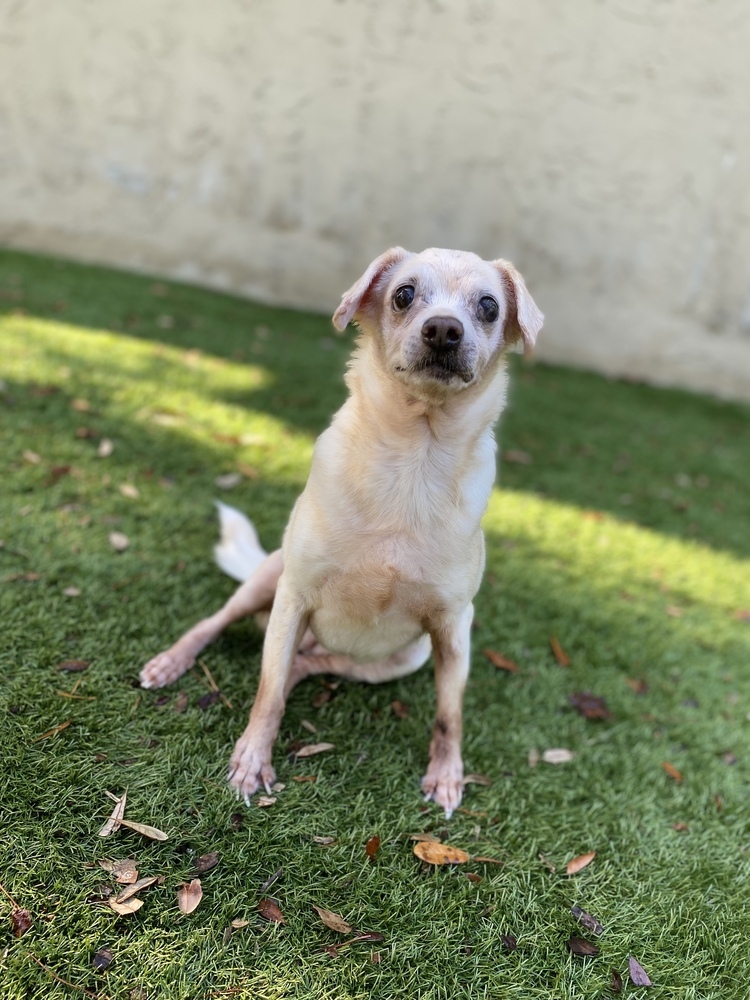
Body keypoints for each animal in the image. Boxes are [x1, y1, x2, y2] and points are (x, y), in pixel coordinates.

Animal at [140, 246, 540, 816]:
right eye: (403, 295)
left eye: (488, 306)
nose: (444, 329)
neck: (413, 460)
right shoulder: (294, 597)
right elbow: (265, 694)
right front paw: (252, 760)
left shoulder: (454, 629)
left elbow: (449, 714)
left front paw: (446, 776)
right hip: (267, 583)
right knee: (223, 630)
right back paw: (173, 661)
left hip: (404, 657)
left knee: (305, 665)